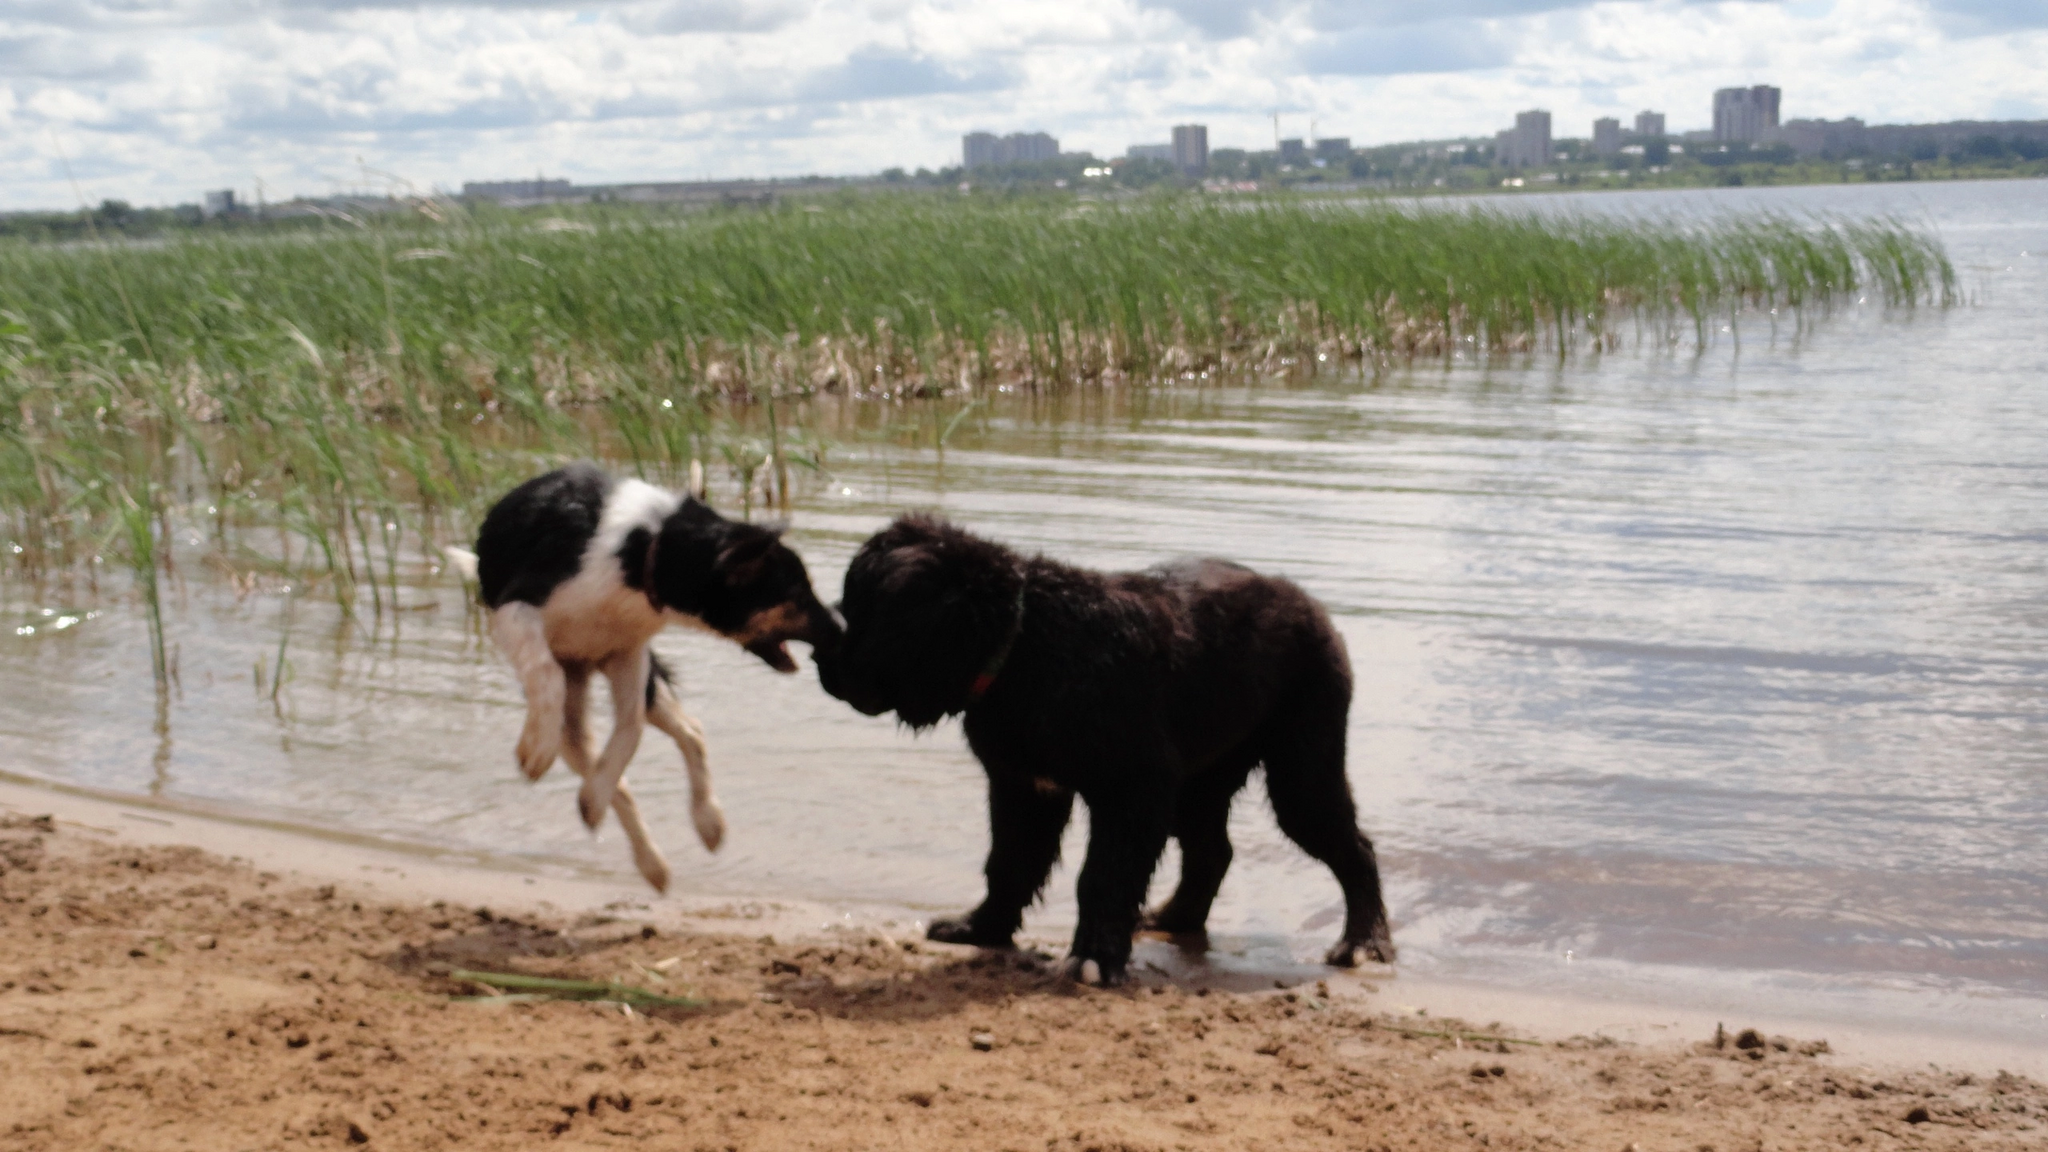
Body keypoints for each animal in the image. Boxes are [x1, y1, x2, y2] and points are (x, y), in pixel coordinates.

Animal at [460, 461, 843, 893]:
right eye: (797, 593)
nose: (843, 626)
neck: (645, 552)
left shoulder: (628, 652)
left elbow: (631, 729)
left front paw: (596, 796)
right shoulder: (517, 609)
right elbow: (547, 674)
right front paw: (536, 753)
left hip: (640, 680)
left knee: (688, 731)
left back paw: (695, 828)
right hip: (572, 705)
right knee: (593, 750)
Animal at [815, 516, 1392, 983]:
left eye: (860, 609)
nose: (822, 655)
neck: (1026, 645)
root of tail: (1310, 604)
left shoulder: (1131, 790)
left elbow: (1103, 876)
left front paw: (1093, 959)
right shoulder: (1024, 787)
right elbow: (1009, 862)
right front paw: (980, 927)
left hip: (1302, 769)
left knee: (1354, 848)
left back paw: (1364, 943)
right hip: (1200, 781)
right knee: (1213, 850)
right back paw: (1175, 917)